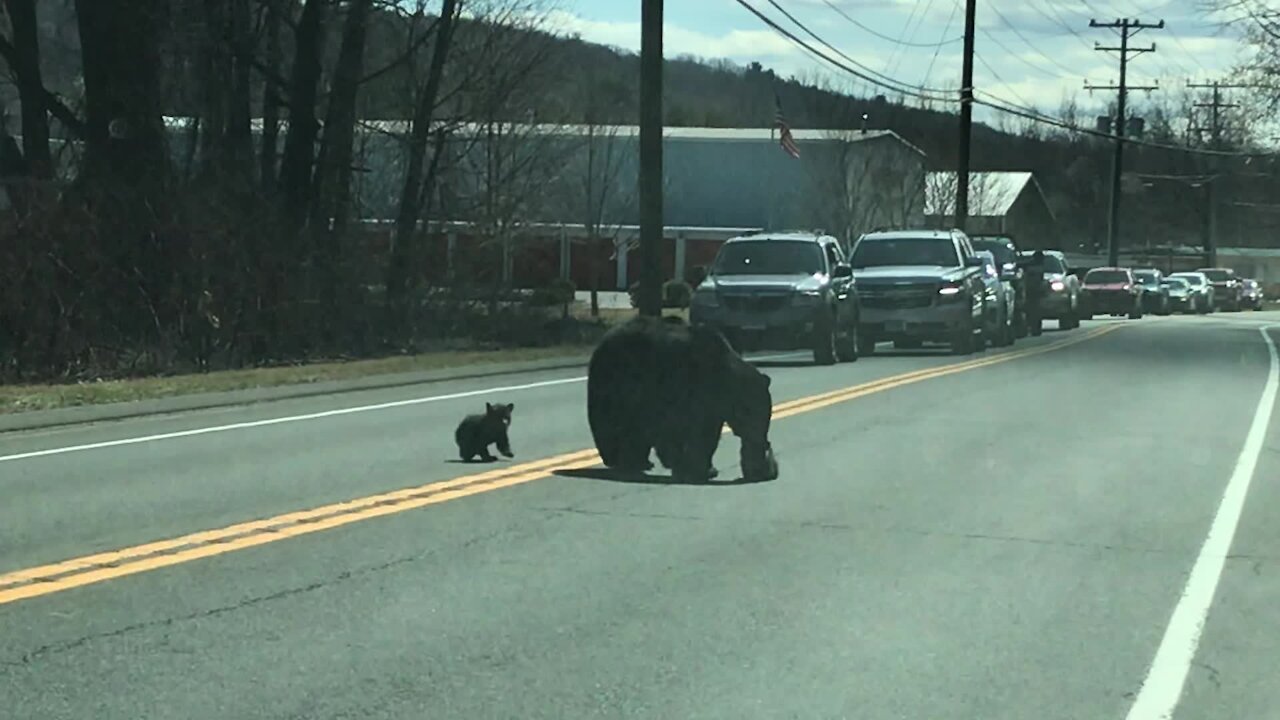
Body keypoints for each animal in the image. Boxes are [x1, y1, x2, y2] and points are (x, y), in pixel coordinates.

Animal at [586, 313, 773, 481]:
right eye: (757, 418)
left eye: (766, 418)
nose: (764, 463)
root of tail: (604, 338)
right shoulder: (683, 385)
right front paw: (695, 468)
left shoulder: (712, 403)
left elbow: (708, 431)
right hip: (616, 377)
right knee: (614, 422)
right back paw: (624, 459)